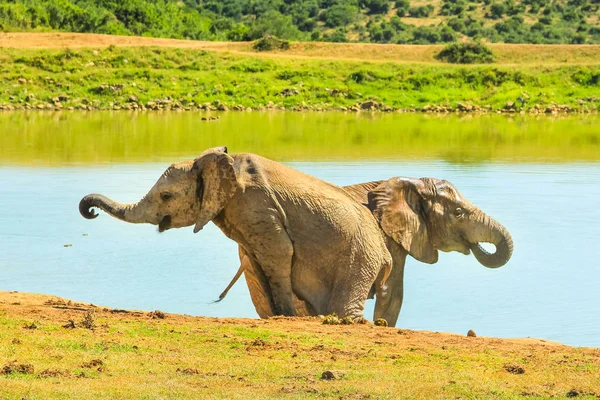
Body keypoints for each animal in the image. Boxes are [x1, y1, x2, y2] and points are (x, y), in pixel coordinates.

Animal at [77, 147, 392, 318]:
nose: (90, 211)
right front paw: (279, 315)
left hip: (359, 257)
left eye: (166, 196)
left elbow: (279, 252)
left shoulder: (256, 206)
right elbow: (258, 262)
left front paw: (286, 316)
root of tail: (384, 250)